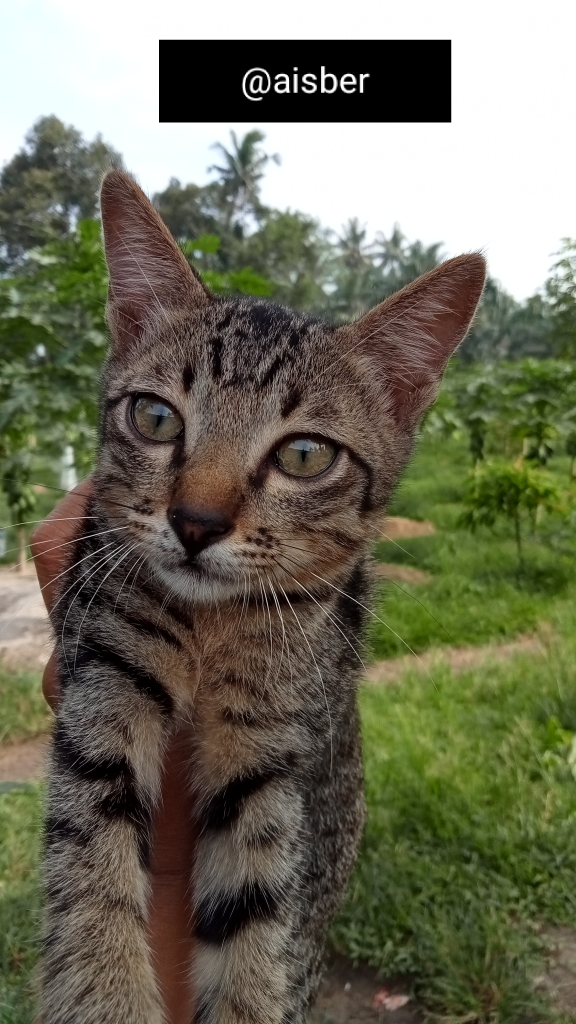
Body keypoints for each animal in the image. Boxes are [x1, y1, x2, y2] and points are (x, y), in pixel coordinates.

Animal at [39, 169, 483, 1024]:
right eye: (155, 416)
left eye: (304, 455)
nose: (195, 522)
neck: (212, 631)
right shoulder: (103, 663)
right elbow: (90, 855)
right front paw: (107, 992)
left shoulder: (280, 739)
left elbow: (258, 913)